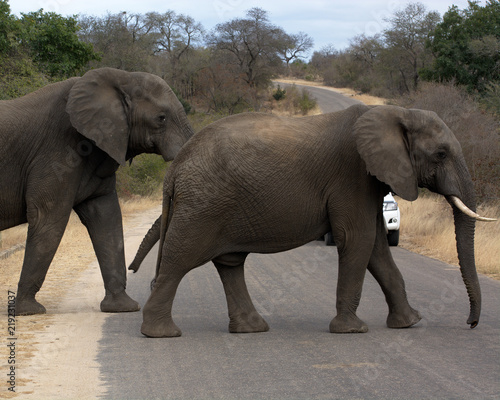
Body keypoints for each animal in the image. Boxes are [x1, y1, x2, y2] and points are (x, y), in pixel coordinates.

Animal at [0, 66, 193, 316]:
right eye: (161, 118)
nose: (139, 273)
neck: (121, 77)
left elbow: (106, 216)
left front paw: (123, 307)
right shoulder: (57, 151)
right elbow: (49, 218)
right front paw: (28, 311)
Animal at [134, 104, 496, 338]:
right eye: (441, 154)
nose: (471, 324)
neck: (396, 112)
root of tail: (175, 168)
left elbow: (377, 248)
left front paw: (409, 323)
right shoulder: (352, 174)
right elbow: (358, 239)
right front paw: (353, 330)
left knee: (230, 263)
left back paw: (252, 329)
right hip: (203, 204)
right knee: (180, 259)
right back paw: (161, 334)